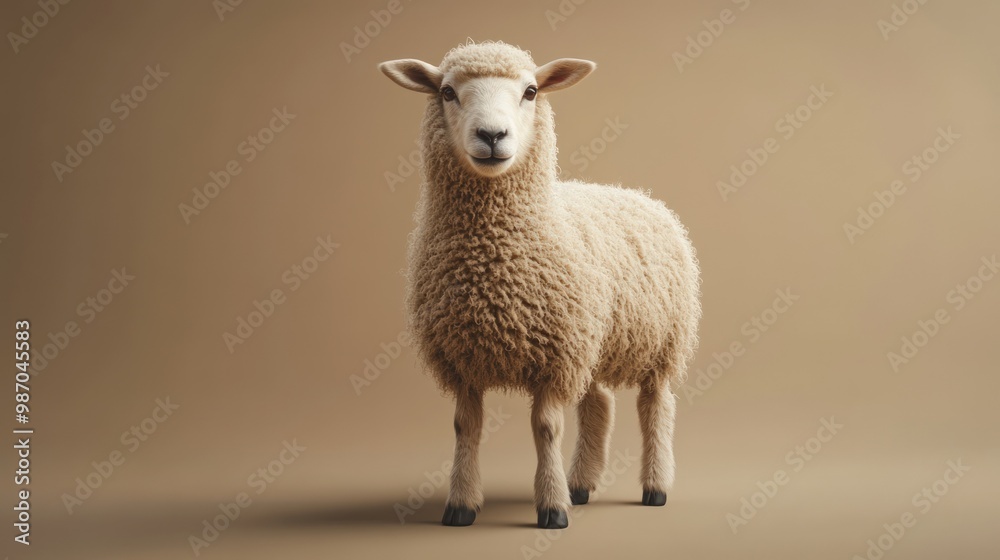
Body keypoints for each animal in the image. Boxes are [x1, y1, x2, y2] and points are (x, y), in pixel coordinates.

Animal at [379, 41, 701, 529]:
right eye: (447, 92)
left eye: (531, 91)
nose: (492, 135)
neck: (493, 257)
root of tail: (638, 194)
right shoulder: (463, 359)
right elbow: (465, 427)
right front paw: (461, 505)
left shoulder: (554, 355)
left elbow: (546, 428)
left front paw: (551, 508)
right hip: (594, 339)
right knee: (598, 404)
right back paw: (581, 485)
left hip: (661, 342)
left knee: (656, 408)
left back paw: (655, 487)